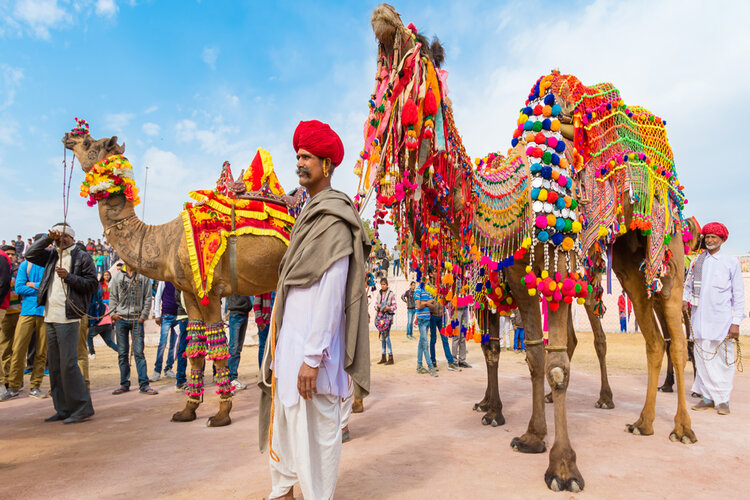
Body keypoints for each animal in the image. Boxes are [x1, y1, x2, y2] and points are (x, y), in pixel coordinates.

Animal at [61, 121, 302, 426]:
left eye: (91, 144)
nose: (69, 136)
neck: (165, 240)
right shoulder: (189, 291)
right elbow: (196, 348)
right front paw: (188, 410)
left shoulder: (211, 291)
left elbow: (217, 346)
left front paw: (221, 414)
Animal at [362, 2, 696, 492]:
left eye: (418, 44)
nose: (382, 16)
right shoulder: (517, 278)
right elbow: (532, 355)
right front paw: (530, 435)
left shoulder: (555, 264)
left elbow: (554, 364)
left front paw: (563, 467)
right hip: (626, 260)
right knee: (652, 338)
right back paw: (643, 422)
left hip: (661, 248)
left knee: (669, 337)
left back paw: (676, 426)